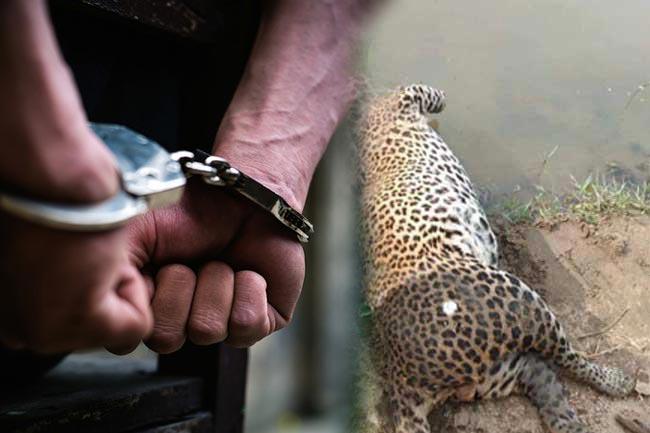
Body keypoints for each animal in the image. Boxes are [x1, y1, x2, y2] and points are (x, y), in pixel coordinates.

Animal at [357, 84, 636, 433]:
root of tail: (402, 373)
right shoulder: (406, 97)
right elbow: (429, 92)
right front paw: (442, 100)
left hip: (499, 371)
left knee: (546, 383)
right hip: (520, 303)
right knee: (566, 358)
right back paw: (618, 380)